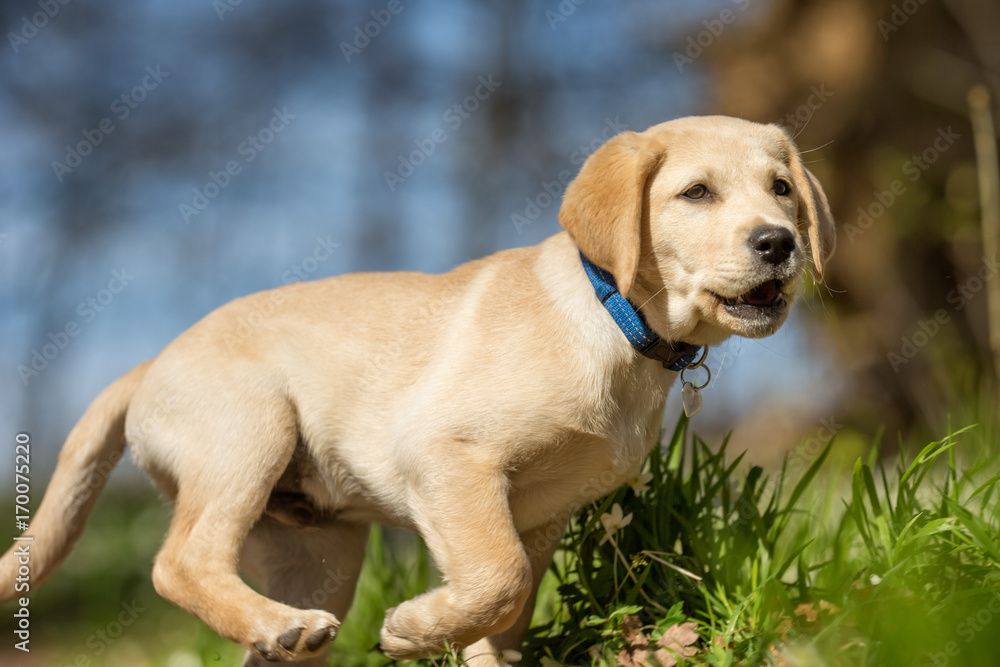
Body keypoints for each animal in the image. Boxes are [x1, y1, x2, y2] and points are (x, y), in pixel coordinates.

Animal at [0, 115, 832, 664]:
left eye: (782, 190)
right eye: (696, 193)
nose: (779, 243)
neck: (612, 318)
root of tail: (151, 362)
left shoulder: (541, 514)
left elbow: (508, 607)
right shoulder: (447, 457)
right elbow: (496, 578)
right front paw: (410, 628)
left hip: (319, 551)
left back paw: (277, 629)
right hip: (251, 433)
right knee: (180, 562)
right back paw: (279, 621)